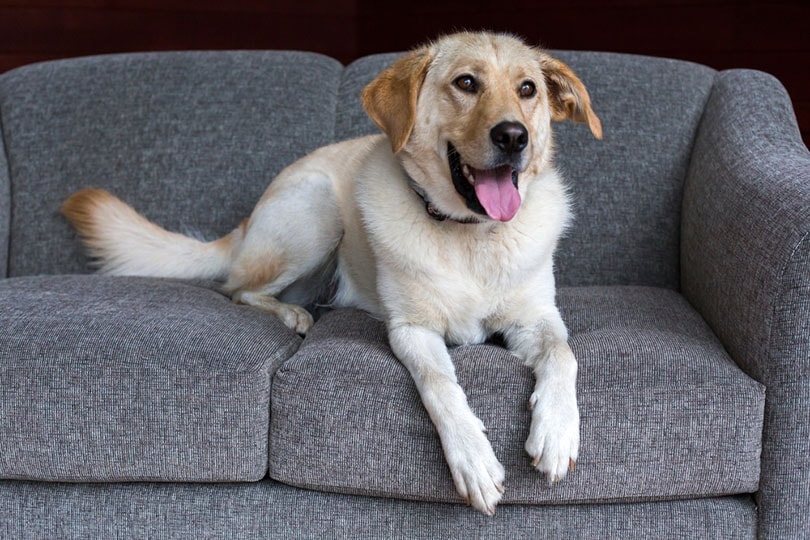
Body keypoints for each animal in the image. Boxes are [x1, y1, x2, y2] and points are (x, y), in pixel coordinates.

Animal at [63, 32, 604, 516]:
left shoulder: (538, 319)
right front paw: (472, 459)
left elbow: (564, 355)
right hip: (317, 211)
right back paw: (292, 314)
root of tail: (248, 220)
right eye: (466, 82)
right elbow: (440, 386)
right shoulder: (411, 330)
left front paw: (556, 431)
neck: (471, 235)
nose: (514, 136)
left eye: (528, 89)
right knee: (237, 288)